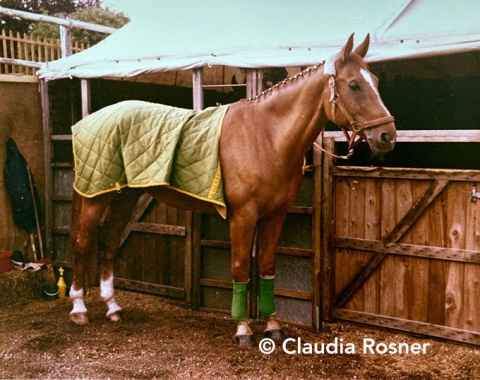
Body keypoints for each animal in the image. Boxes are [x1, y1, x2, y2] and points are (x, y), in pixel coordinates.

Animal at [68, 34, 398, 346]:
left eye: (376, 81)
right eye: (354, 85)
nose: (387, 136)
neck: (265, 136)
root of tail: (88, 120)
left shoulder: (275, 216)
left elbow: (266, 266)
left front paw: (273, 326)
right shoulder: (243, 215)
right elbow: (240, 267)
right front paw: (242, 329)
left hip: (126, 195)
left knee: (109, 240)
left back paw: (113, 308)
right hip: (96, 195)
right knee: (83, 242)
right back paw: (80, 309)